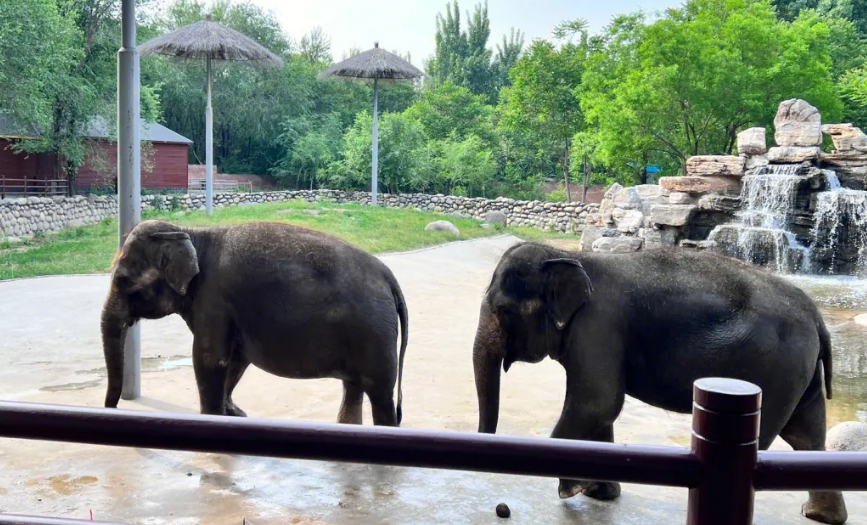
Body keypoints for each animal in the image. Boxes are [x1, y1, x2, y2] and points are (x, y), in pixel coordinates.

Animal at [101, 219, 408, 426]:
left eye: (123, 280)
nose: (112, 410)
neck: (191, 233)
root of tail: (389, 277)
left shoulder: (213, 298)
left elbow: (209, 360)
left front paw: (215, 417)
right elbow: (235, 360)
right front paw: (235, 413)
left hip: (374, 334)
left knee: (380, 394)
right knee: (353, 388)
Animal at [472, 242, 847, 524]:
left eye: (503, 311)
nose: (499, 506)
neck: (568, 254)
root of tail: (818, 319)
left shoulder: (598, 326)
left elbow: (596, 401)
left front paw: (570, 491)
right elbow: (600, 409)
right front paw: (600, 494)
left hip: (775, 368)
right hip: (797, 370)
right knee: (807, 435)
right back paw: (821, 516)